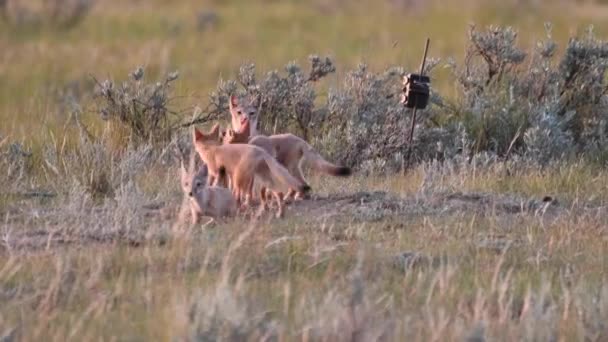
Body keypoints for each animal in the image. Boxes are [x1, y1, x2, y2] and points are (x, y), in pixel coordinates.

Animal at [222, 117, 352, 199]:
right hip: (290, 167)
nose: (223, 146)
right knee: (298, 184)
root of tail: (300, 140)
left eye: (227, 138)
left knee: (300, 183)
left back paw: (294, 196)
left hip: (290, 168)